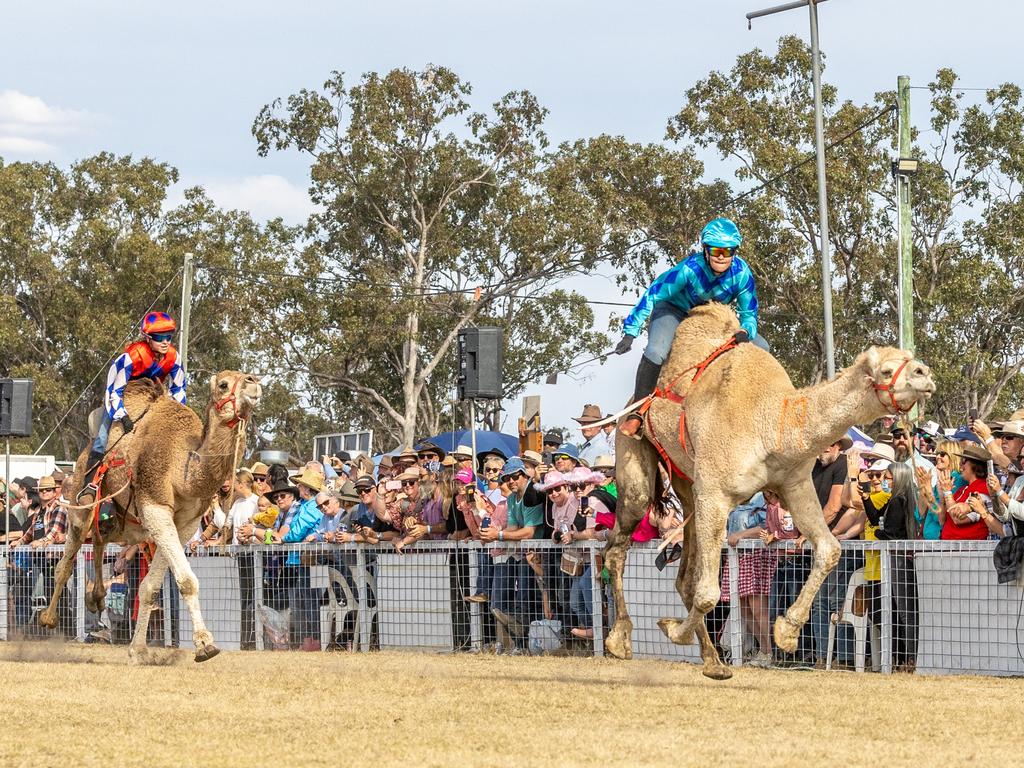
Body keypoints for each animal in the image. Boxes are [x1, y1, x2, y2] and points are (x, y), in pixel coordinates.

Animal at [40, 370, 262, 663]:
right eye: (224, 384)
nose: (254, 382)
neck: (183, 471)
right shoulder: (155, 507)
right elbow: (187, 580)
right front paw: (205, 645)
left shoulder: (186, 524)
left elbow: (150, 586)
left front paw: (139, 650)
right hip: (80, 501)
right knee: (67, 559)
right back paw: (49, 619)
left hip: (125, 524)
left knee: (99, 539)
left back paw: (96, 597)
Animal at [606, 305, 937, 679]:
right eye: (886, 369)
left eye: (909, 360)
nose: (925, 374)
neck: (772, 423)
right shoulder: (716, 494)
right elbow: (708, 592)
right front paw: (673, 631)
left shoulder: (795, 484)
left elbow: (830, 549)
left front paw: (787, 632)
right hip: (639, 465)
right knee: (619, 546)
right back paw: (620, 641)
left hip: (686, 484)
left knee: (683, 575)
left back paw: (713, 661)